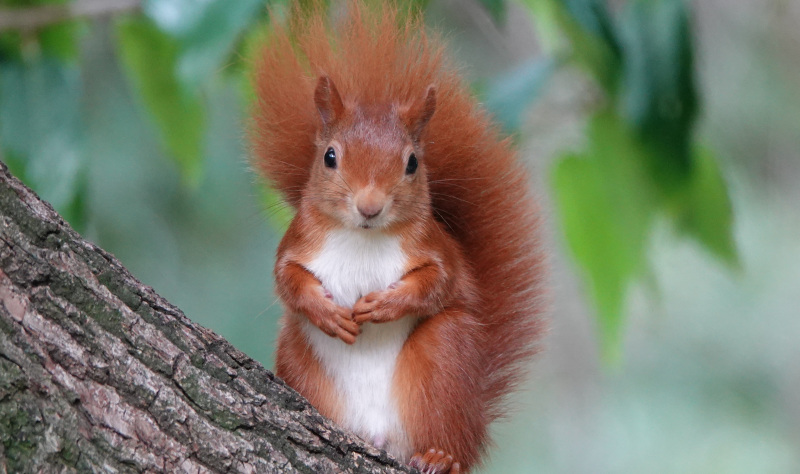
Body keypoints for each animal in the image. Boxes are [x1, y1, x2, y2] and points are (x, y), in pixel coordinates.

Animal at [253, 1, 548, 472]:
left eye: (412, 163)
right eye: (329, 156)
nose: (369, 206)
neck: (362, 239)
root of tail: (380, 436)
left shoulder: (436, 248)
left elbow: (438, 282)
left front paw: (384, 305)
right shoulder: (298, 241)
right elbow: (286, 279)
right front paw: (326, 312)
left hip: (444, 359)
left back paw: (441, 457)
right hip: (300, 358)